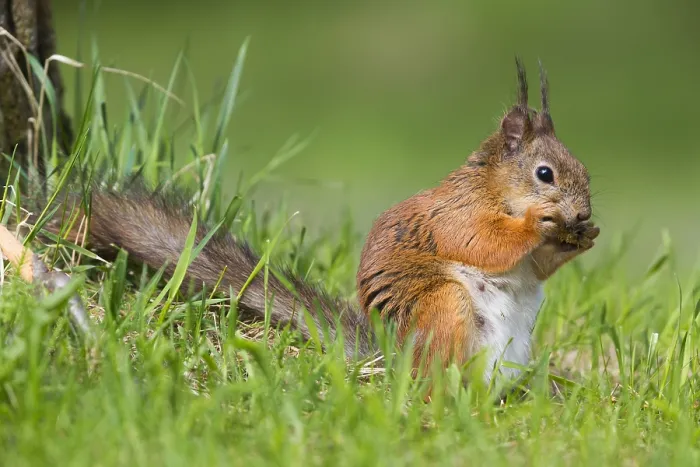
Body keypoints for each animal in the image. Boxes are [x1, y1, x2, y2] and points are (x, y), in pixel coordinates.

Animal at [38, 58, 599, 386]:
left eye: (583, 168)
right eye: (545, 173)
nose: (585, 213)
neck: (498, 190)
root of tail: (394, 359)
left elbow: (536, 267)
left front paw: (580, 239)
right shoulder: (455, 214)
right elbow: (483, 243)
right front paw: (542, 223)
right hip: (444, 308)